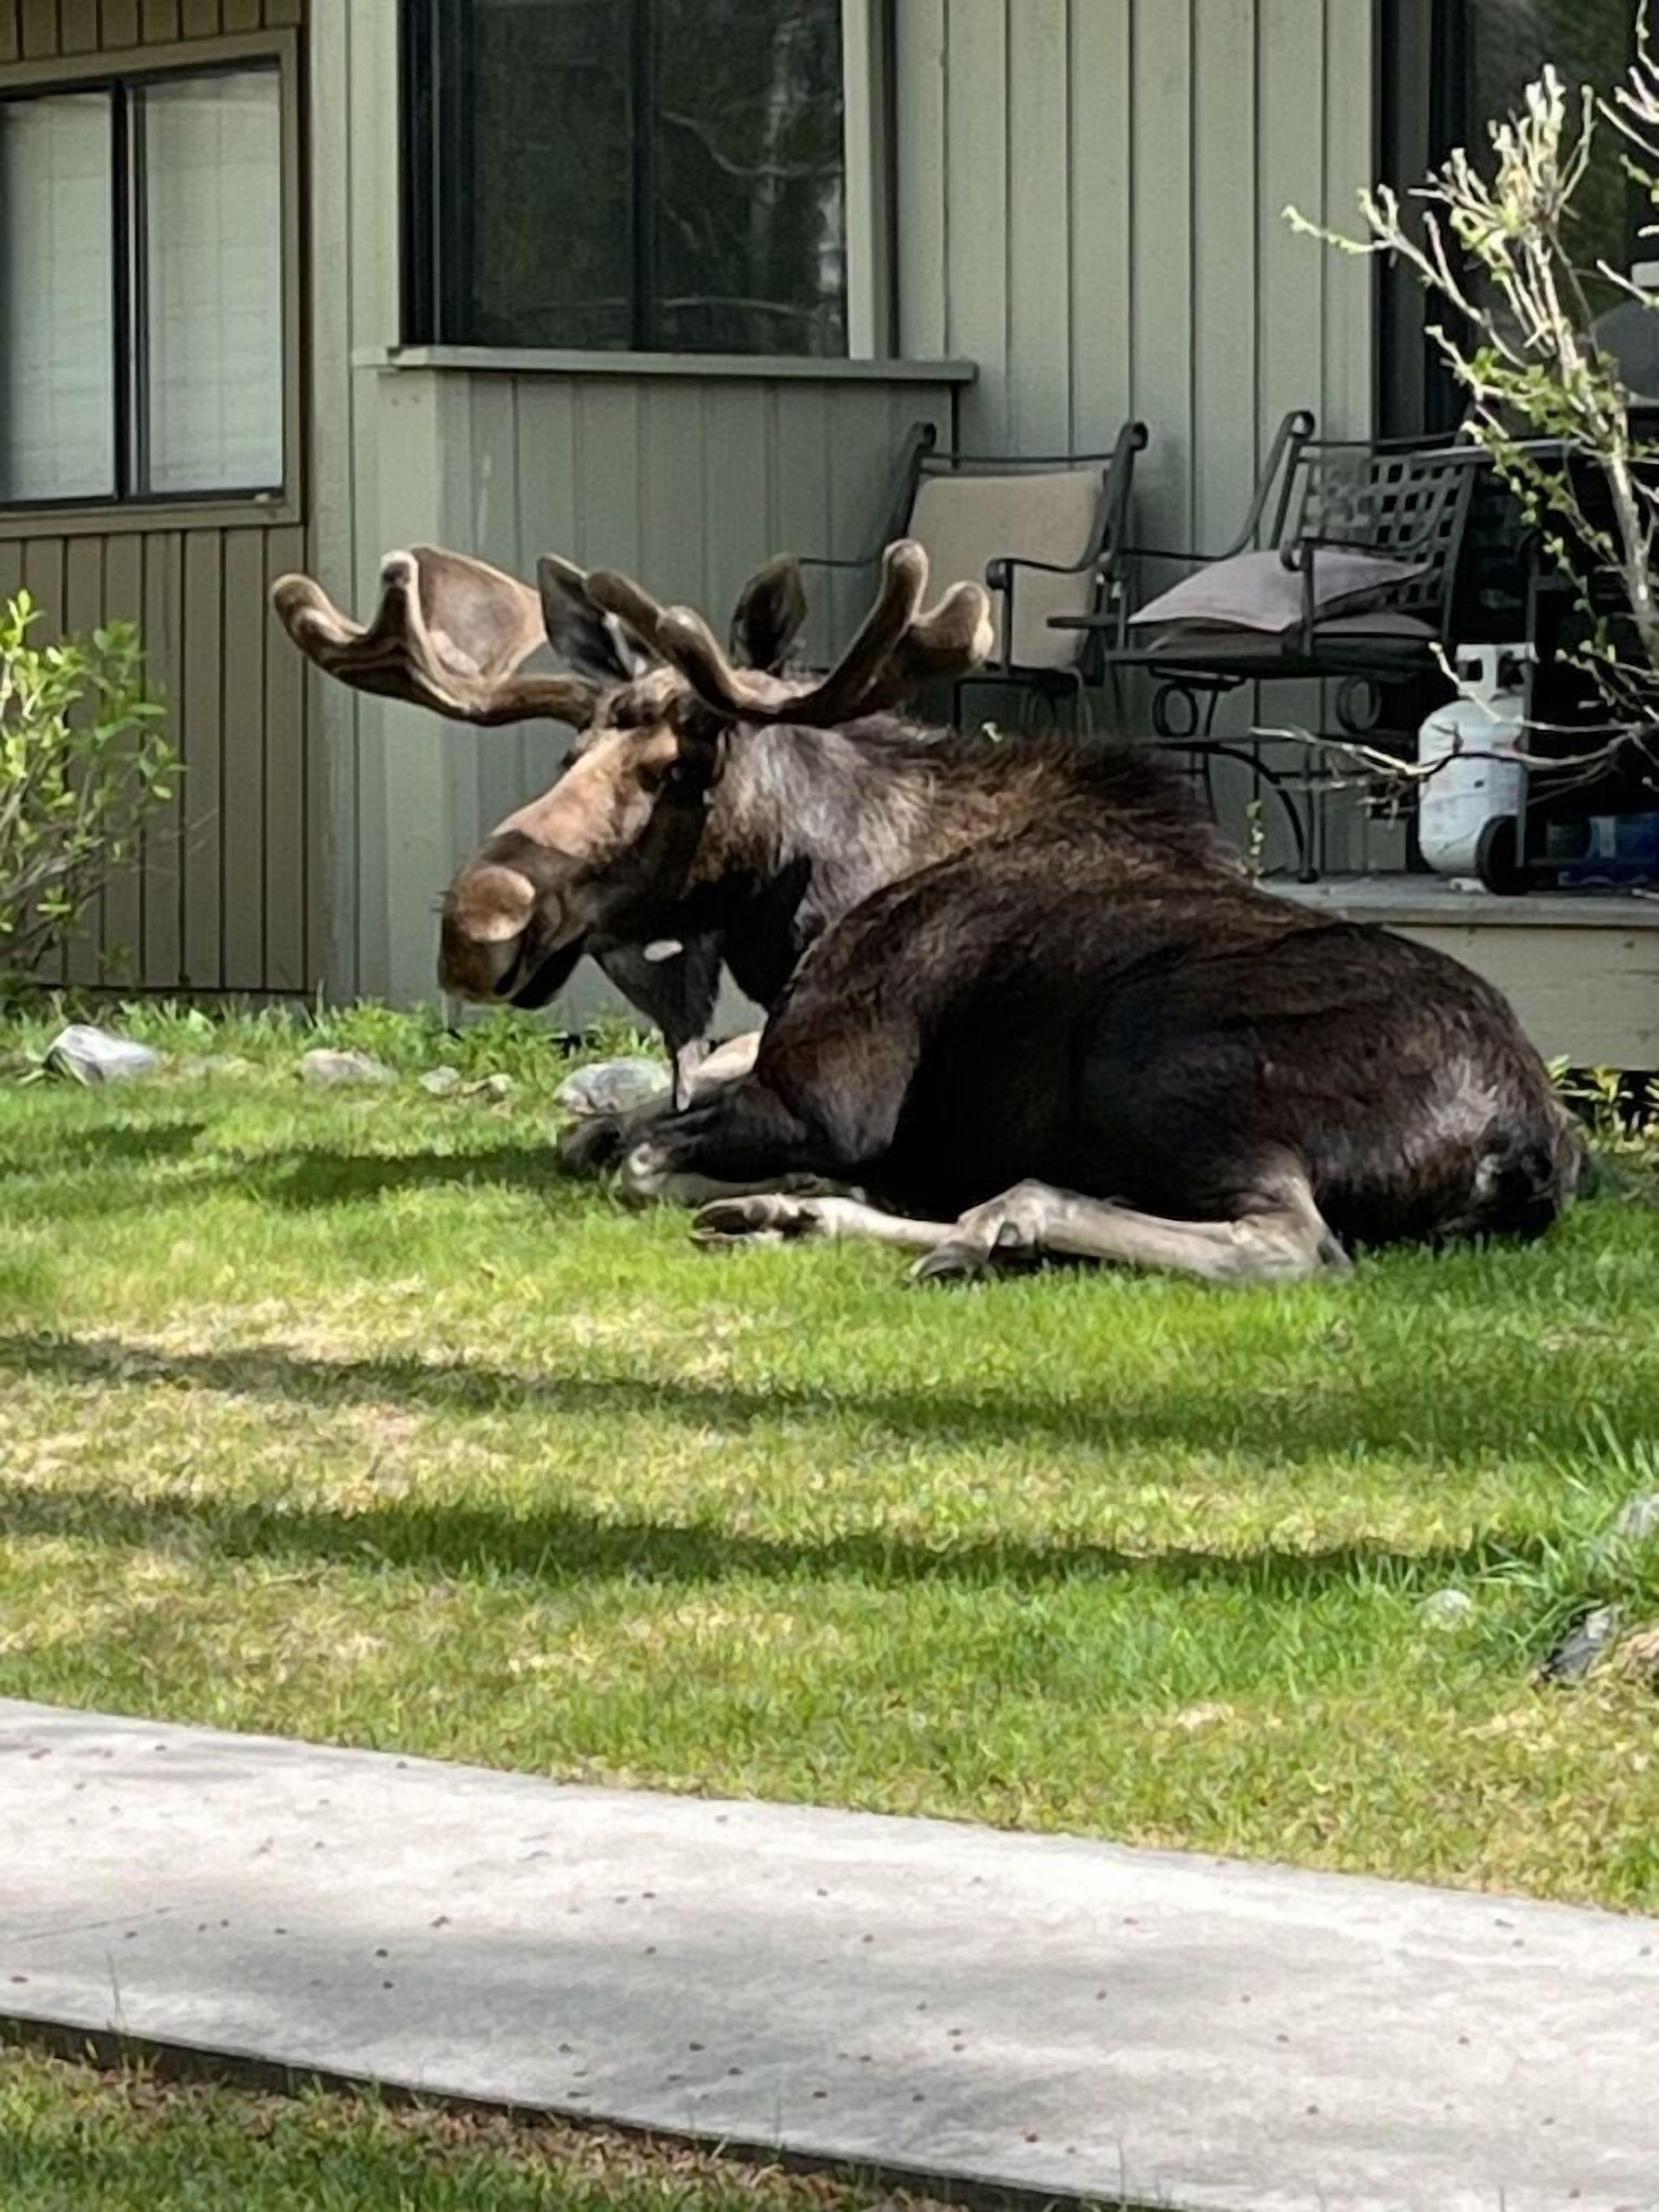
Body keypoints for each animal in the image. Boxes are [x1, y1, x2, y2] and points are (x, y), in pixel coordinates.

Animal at [275, 539, 1582, 1286]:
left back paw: (963, 1217)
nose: (477, 923)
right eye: (570, 749)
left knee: (1285, 1242)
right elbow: (603, 1129)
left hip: (1162, 1060)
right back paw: (816, 1213)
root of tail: (1526, 1142)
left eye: (687, 765)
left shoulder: (825, 1095)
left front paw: (807, 1179)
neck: (803, 911)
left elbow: (635, 1157)